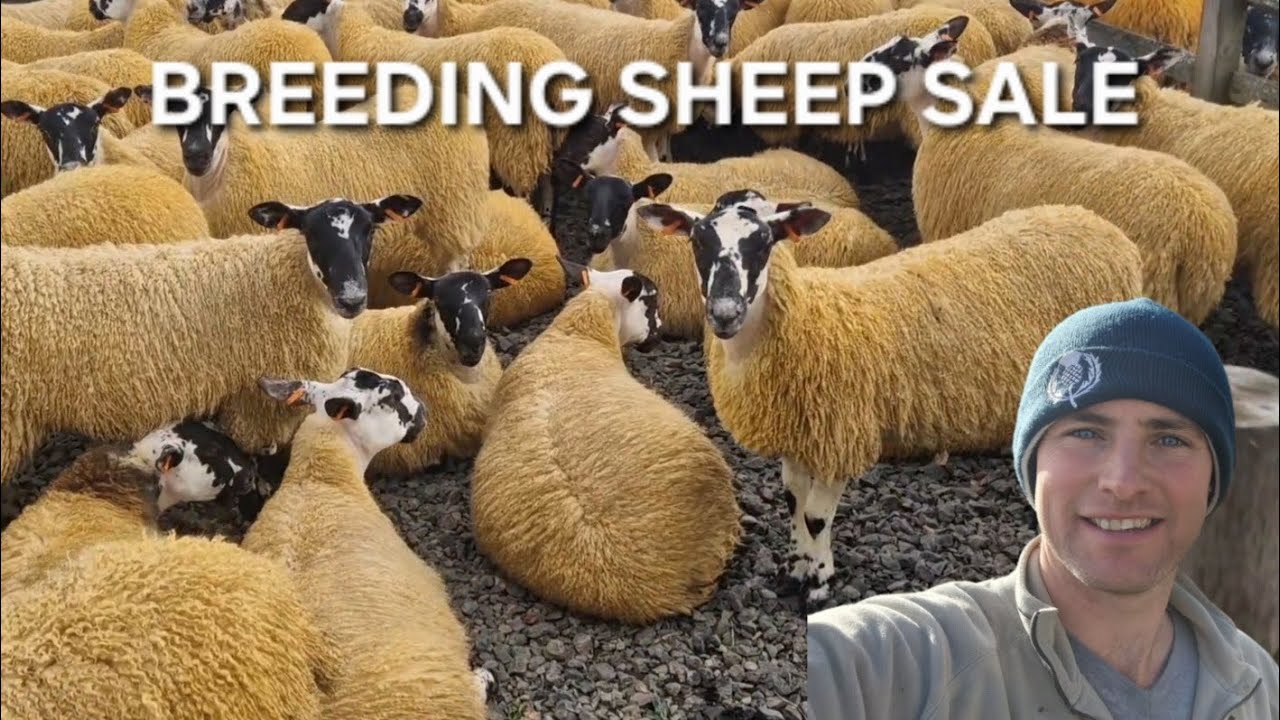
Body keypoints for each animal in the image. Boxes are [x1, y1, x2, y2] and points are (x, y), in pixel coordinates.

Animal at [279, 0, 573, 219]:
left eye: (313, 1)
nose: (283, 17)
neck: (355, 37)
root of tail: (545, 58)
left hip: (518, 143)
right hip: (543, 138)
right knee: (549, 187)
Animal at [635, 197, 1144, 605]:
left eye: (764, 242)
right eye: (698, 241)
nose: (724, 313)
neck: (805, 321)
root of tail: (1097, 223)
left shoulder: (841, 433)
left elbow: (816, 516)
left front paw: (817, 582)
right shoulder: (803, 432)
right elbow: (793, 501)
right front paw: (794, 570)